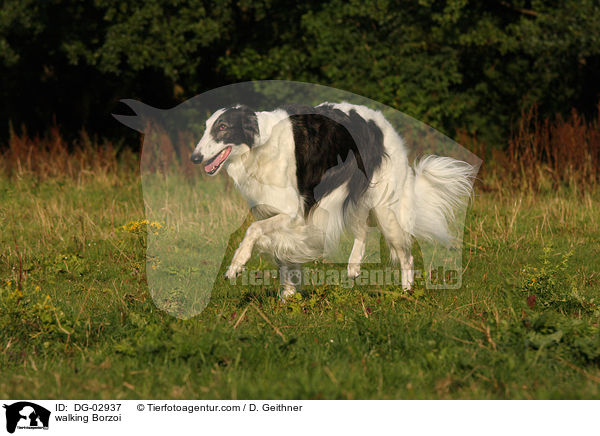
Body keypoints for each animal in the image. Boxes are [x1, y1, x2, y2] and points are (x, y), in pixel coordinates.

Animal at [190, 102, 476, 300]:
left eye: (222, 127)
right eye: (206, 127)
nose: (194, 157)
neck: (259, 145)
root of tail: (381, 121)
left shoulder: (294, 213)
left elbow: (252, 230)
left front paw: (236, 265)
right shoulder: (273, 213)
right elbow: (283, 258)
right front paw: (287, 298)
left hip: (385, 208)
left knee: (406, 256)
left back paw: (406, 292)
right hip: (355, 197)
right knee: (363, 231)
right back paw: (354, 266)